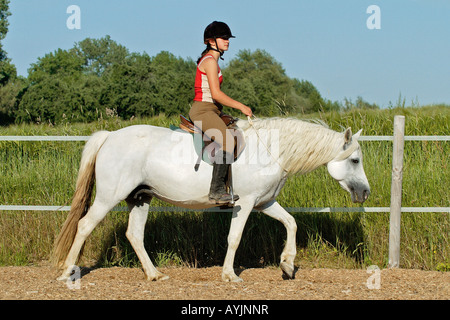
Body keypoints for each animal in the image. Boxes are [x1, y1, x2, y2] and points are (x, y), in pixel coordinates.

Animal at [53, 117, 370, 282]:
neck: (269, 150)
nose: (365, 192)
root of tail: (109, 136)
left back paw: (155, 275)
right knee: (84, 226)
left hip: (140, 198)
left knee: (134, 234)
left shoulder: (264, 203)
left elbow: (291, 223)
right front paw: (230, 275)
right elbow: (235, 238)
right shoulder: (245, 204)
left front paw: (288, 265)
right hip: (109, 196)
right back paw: (67, 272)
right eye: (355, 160)